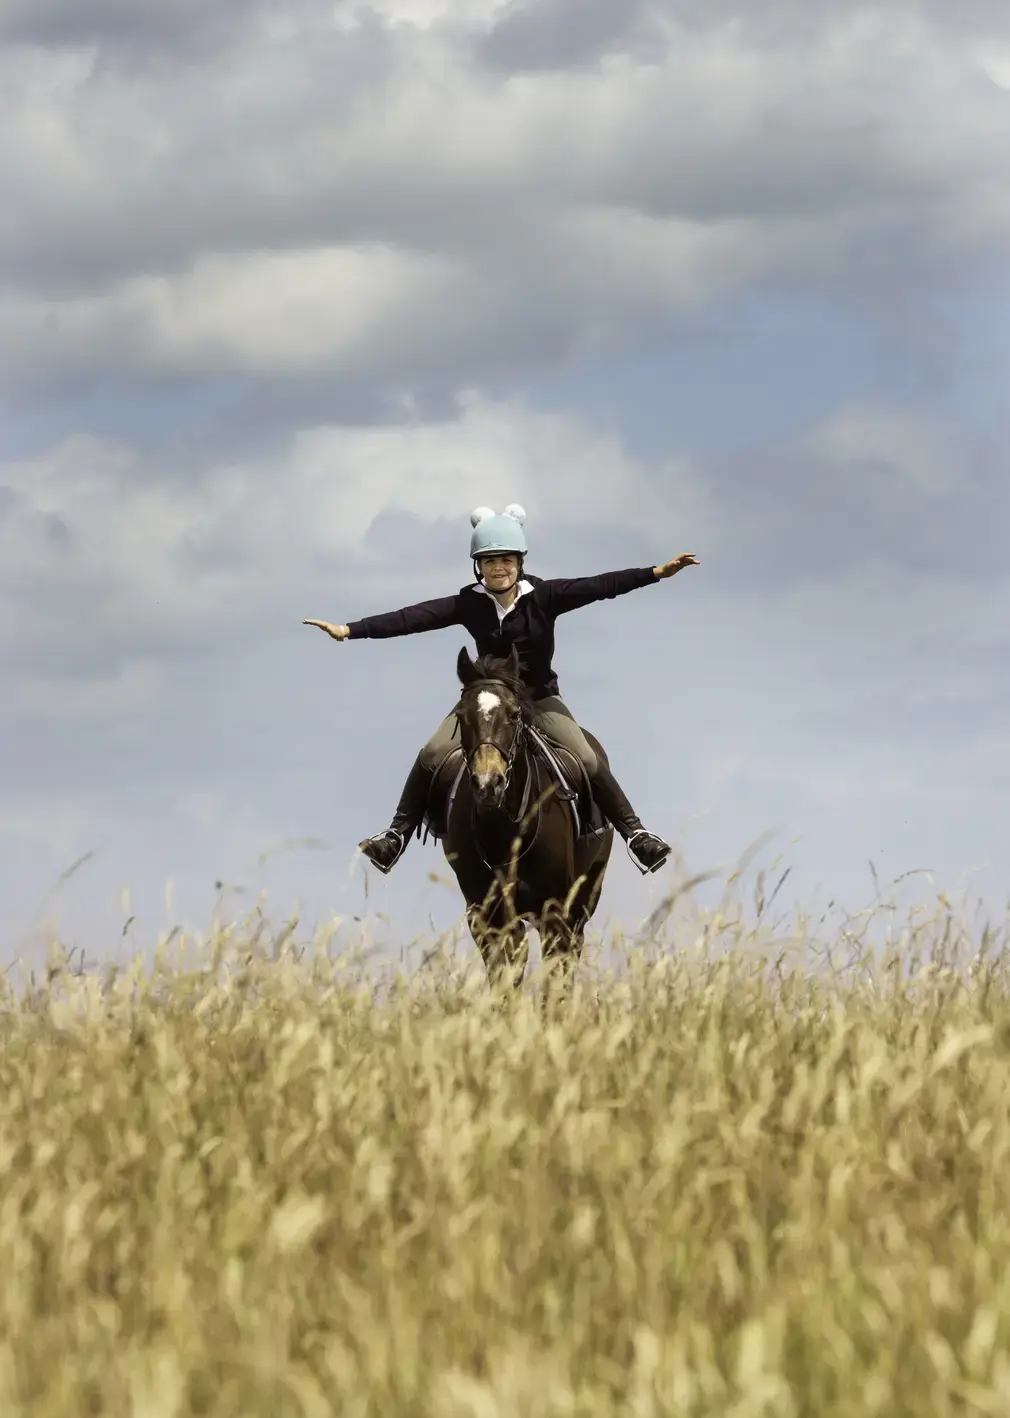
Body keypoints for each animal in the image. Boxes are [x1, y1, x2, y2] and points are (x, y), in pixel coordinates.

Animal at [439, 644, 614, 996]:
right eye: (461, 716)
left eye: (513, 714)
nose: (488, 783)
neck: (506, 831)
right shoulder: (486, 915)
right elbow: (506, 978)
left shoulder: (555, 910)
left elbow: (554, 978)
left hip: (585, 896)